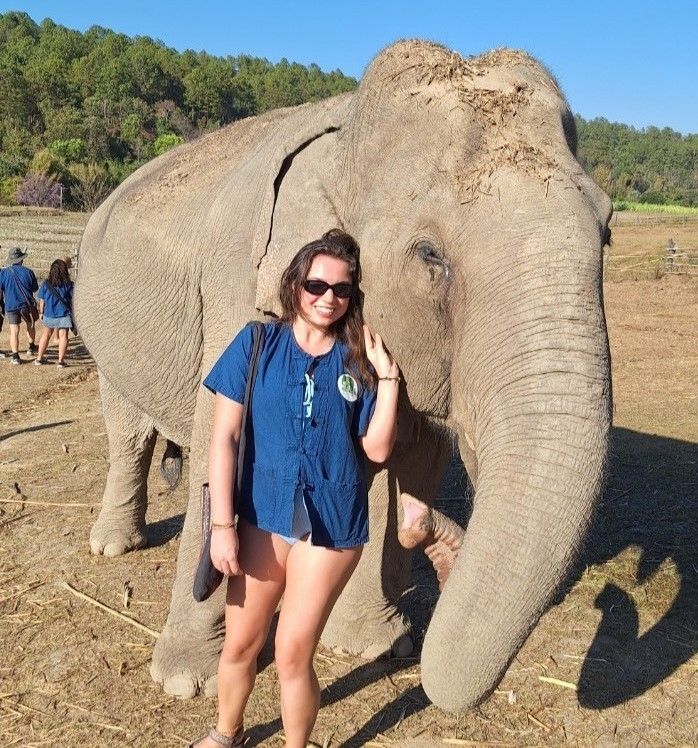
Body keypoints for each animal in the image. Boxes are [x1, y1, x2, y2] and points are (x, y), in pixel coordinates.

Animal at [73, 39, 608, 712]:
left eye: (608, 229)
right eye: (429, 254)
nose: (432, 531)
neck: (346, 133)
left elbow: (404, 448)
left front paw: (376, 646)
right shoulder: (241, 284)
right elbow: (222, 435)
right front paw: (184, 681)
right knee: (128, 433)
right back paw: (113, 545)